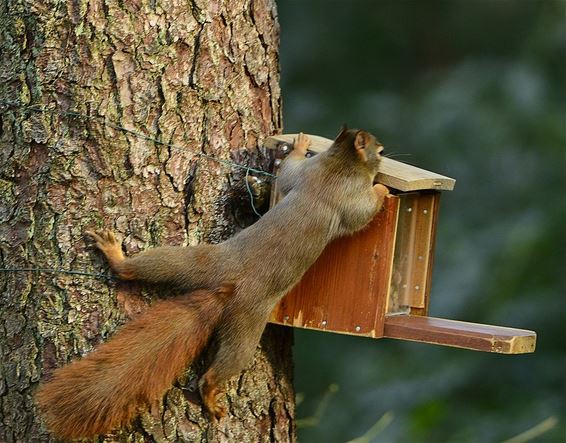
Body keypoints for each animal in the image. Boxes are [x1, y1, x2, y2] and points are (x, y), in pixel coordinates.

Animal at [35, 127, 390, 440]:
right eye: (380, 149)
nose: (385, 157)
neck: (337, 164)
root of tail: (227, 288)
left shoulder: (303, 175)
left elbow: (289, 171)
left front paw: (300, 146)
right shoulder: (349, 197)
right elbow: (362, 213)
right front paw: (383, 191)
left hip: (196, 262)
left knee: (143, 268)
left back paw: (117, 258)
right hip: (247, 326)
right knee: (220, 369)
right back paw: (210, 395)